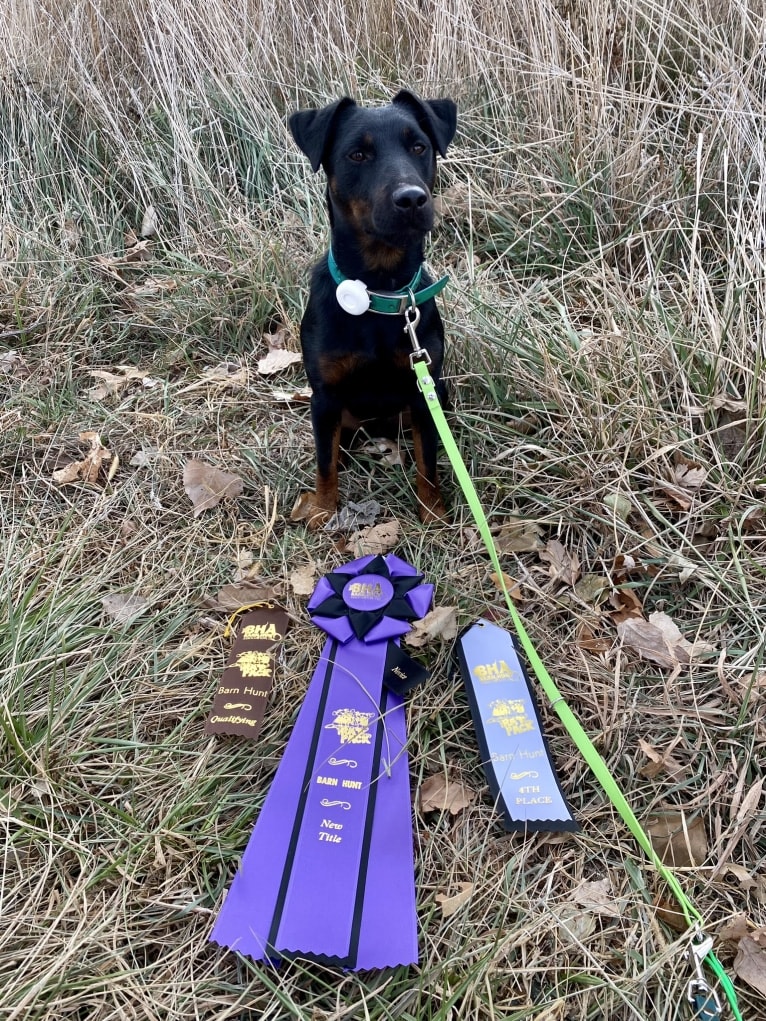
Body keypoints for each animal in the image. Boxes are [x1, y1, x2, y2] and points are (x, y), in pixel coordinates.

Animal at [288, 89, 455, 526]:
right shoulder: (325, 395)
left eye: (419, 147)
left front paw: (432, 512)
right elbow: (324, 462)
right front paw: (323, 509)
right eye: (357, 155)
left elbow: (428, 461)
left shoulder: (423, 392)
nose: (411, 199)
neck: (379, 292)